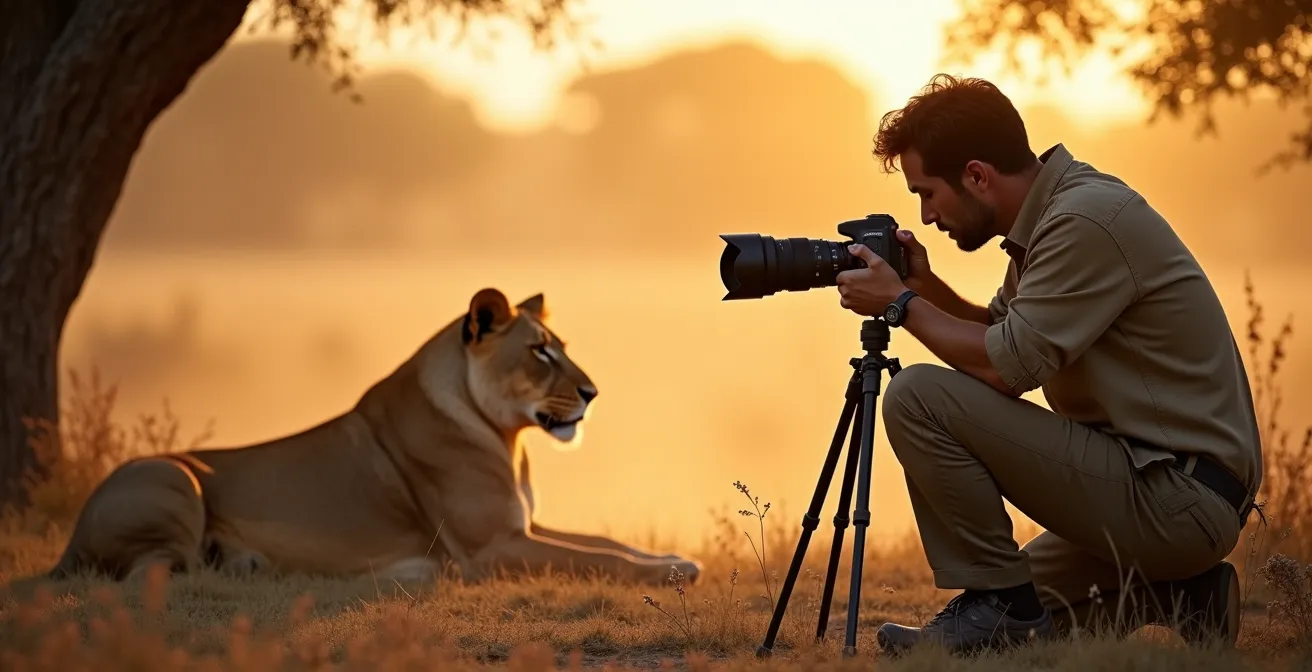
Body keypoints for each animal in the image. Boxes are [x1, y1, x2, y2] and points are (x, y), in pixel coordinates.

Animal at [48, 288, 702, 586]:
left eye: (561, 347)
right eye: (540, 352)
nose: (593, 393)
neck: (505, 437)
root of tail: (68, 543)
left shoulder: (524, 524)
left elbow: (607, 542)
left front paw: (673, 557)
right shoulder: (492, 548)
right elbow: (599, 559)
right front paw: (674, 573)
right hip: (172, 476)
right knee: (156, 573)